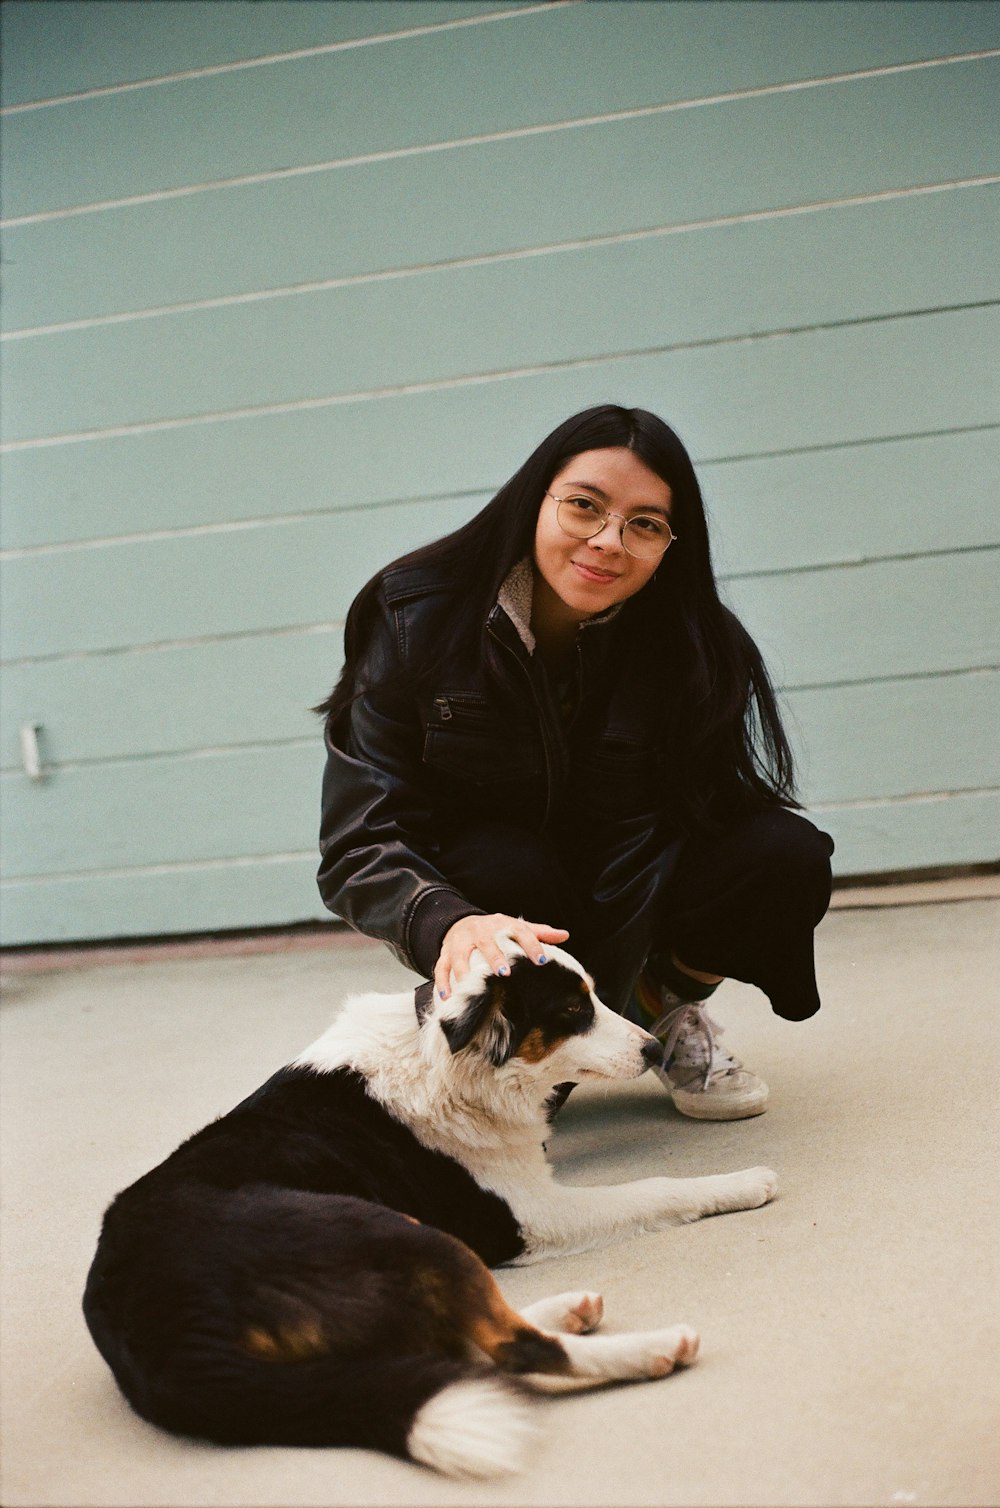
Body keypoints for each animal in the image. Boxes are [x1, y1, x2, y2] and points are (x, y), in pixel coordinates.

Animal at [84, 934, 772, 1477]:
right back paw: (655, 1348)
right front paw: (743, 1181)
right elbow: (657, 1188)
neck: (450, 1057)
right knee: (511, 1346)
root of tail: (161, 1337)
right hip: (385, 1228)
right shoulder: (532, 1216)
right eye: (575, 1010)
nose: (654, 1051)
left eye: (597, 998)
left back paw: (568, 1310)